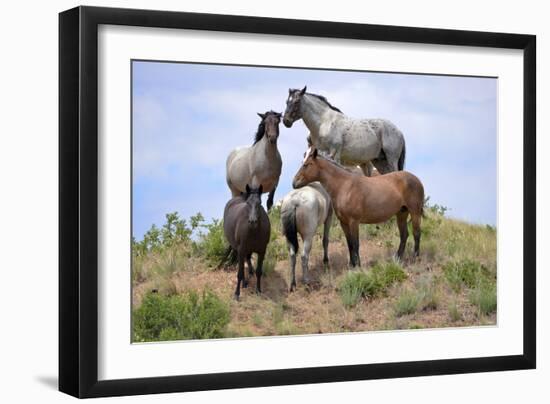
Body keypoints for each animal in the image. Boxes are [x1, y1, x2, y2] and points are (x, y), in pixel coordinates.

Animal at [294, 148, 426, 266]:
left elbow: (356, 244)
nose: (294, 182)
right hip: (401, 213)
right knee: (404, 235)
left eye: (307, 164)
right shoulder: (344, 223)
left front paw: (358, 265)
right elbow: (350, 244)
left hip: (414, 212)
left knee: (416, 233)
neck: (344, 186)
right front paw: (352, 265)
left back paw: (415, 257)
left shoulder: (354, 221)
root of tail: (416, 179)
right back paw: (397, 258)